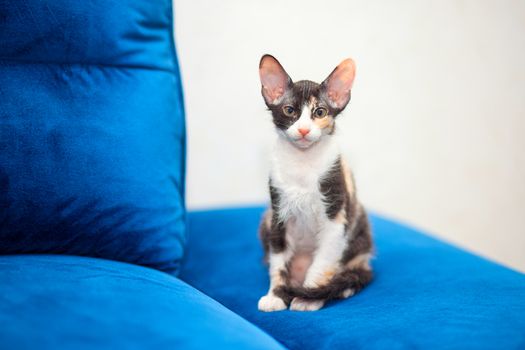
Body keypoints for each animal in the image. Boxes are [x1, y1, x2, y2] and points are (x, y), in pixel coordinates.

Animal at [256, 54, 372, 312]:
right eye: (289, 110)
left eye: (320, 112)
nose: (303, 129)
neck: (302, 163)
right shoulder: (277, 215)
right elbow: (278, 263)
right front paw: (276, 295)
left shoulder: (335, 217)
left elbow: (322, 262)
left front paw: (308, 296)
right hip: (265, 220)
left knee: (352, 273)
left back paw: (341, 287)